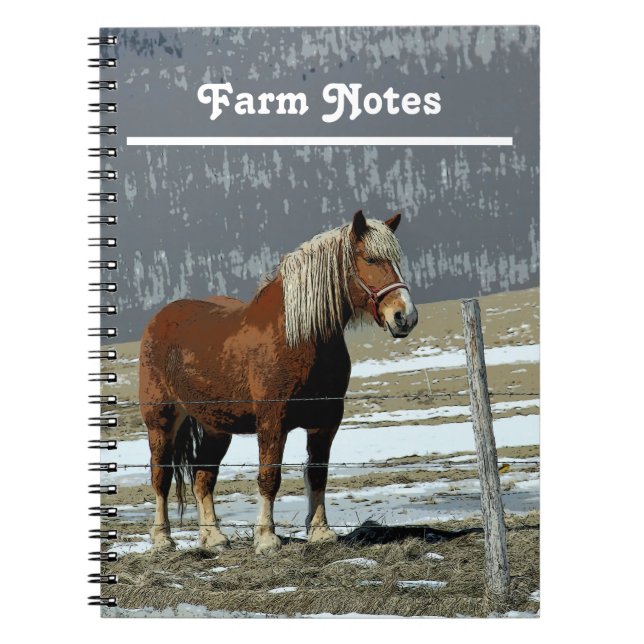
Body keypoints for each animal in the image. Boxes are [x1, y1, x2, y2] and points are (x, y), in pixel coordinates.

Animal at [139, 209, 418, 555]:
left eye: (397, 260)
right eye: (369, 258)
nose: (405, 316)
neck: (298, 338)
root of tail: (159, 319)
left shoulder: (326, 422)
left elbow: (318, 474)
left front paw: (320, 532)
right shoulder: (272, 422)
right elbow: (269, 476)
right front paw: (266, 538)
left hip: (216, 426)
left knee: (203, 476)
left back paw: (214, 538)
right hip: (161, 420)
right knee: (160, 476)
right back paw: (162, 539)